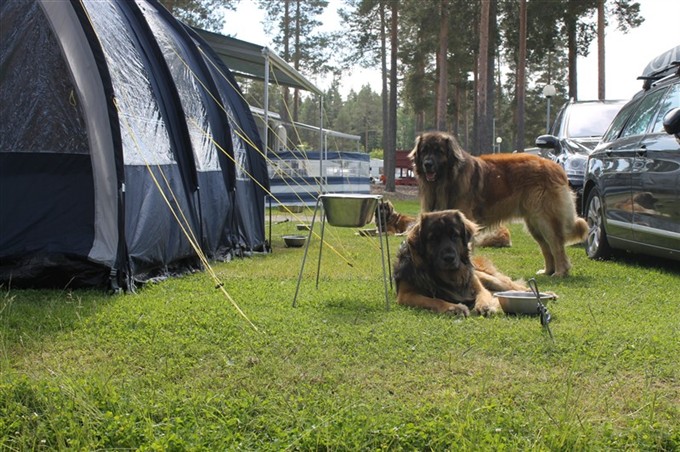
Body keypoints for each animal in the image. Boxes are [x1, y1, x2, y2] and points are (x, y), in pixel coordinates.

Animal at [410, 132, 588, 276]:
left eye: (438, 151)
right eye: (424, 150)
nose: (427, 164)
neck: (446, 180)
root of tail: (556, 167)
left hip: (545, 219)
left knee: (556, 245)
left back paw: (560, 272)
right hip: (534, 223)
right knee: (546, 247)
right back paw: (547, 271)